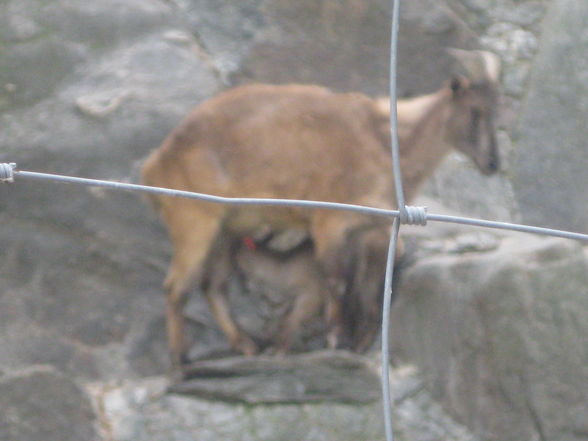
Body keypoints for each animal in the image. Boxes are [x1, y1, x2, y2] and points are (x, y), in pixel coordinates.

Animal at [141, 47, 500, 372]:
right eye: (474, 110)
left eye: (499, 111)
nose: (493, 163)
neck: (385, 142)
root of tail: (155, 164)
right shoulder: (331, 222)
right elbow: (337, 281)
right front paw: (336, 340)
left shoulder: (374, 229)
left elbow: (369, 285)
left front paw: (359, 342)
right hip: (194, 220)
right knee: (177, 286)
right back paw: (180, 357)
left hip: (227, 229)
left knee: (213, 286)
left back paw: (245, 345)